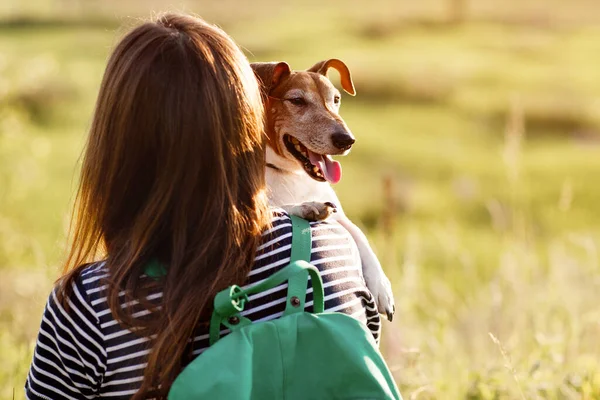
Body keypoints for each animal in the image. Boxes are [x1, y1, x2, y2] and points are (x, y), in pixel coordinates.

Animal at [252, 60, 396, 322]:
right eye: (297, 100)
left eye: (336, 99)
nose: (347, 140)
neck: (292, 174)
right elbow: (277, 205)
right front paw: (307, 207)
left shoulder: (341, 214)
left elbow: (358, 232)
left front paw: (382, 287)